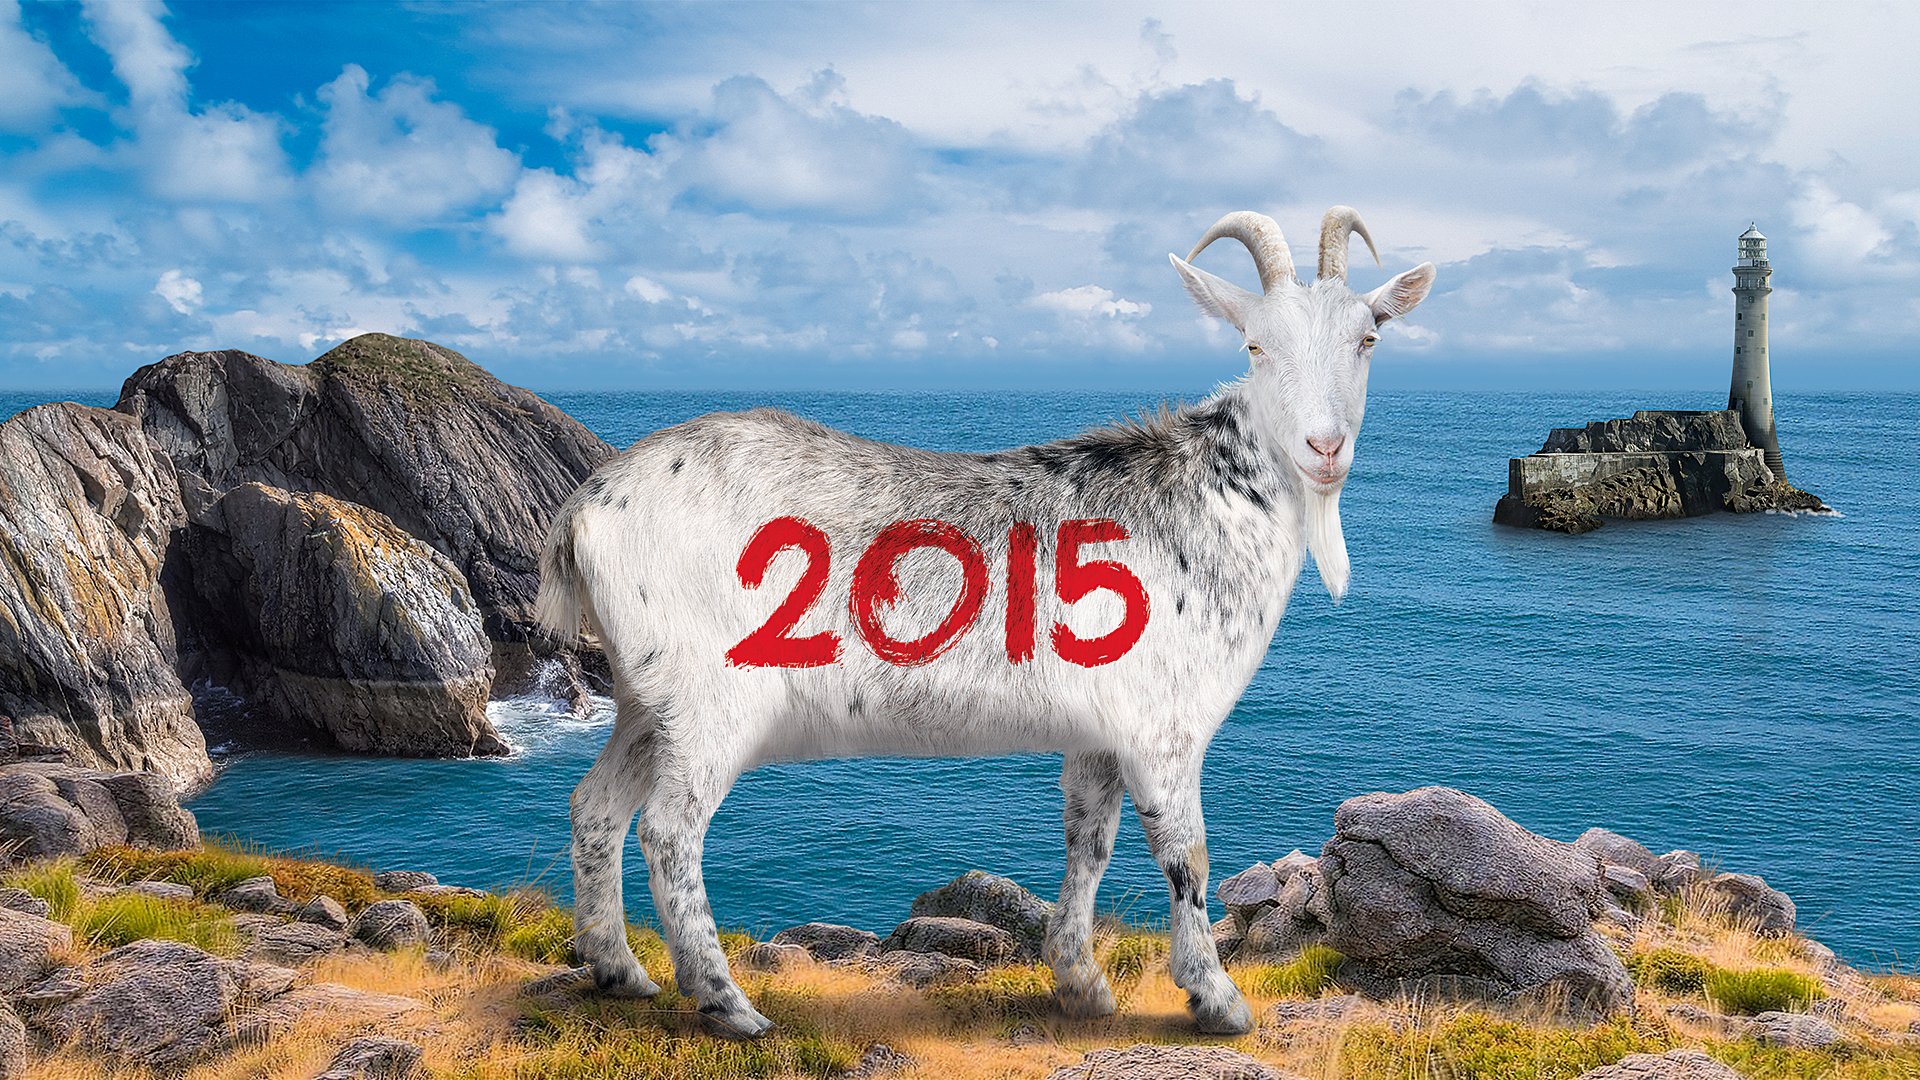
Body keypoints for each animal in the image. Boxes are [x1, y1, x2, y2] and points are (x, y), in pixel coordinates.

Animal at [535, 207, 1435, 1038]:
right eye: (1255, 345)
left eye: (1368, 338)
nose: (1324, 447)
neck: (1206, 500)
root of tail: (585, 509)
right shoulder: (1164, 727)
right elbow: (1187, 857)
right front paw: (1218, 1001)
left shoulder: (1099, 733)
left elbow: (1089, 840)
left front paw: (1081, 986)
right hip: (710, 702)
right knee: (669, 830)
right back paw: (727, 1005)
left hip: (643, 697)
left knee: (595, 806)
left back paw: (620, 972)